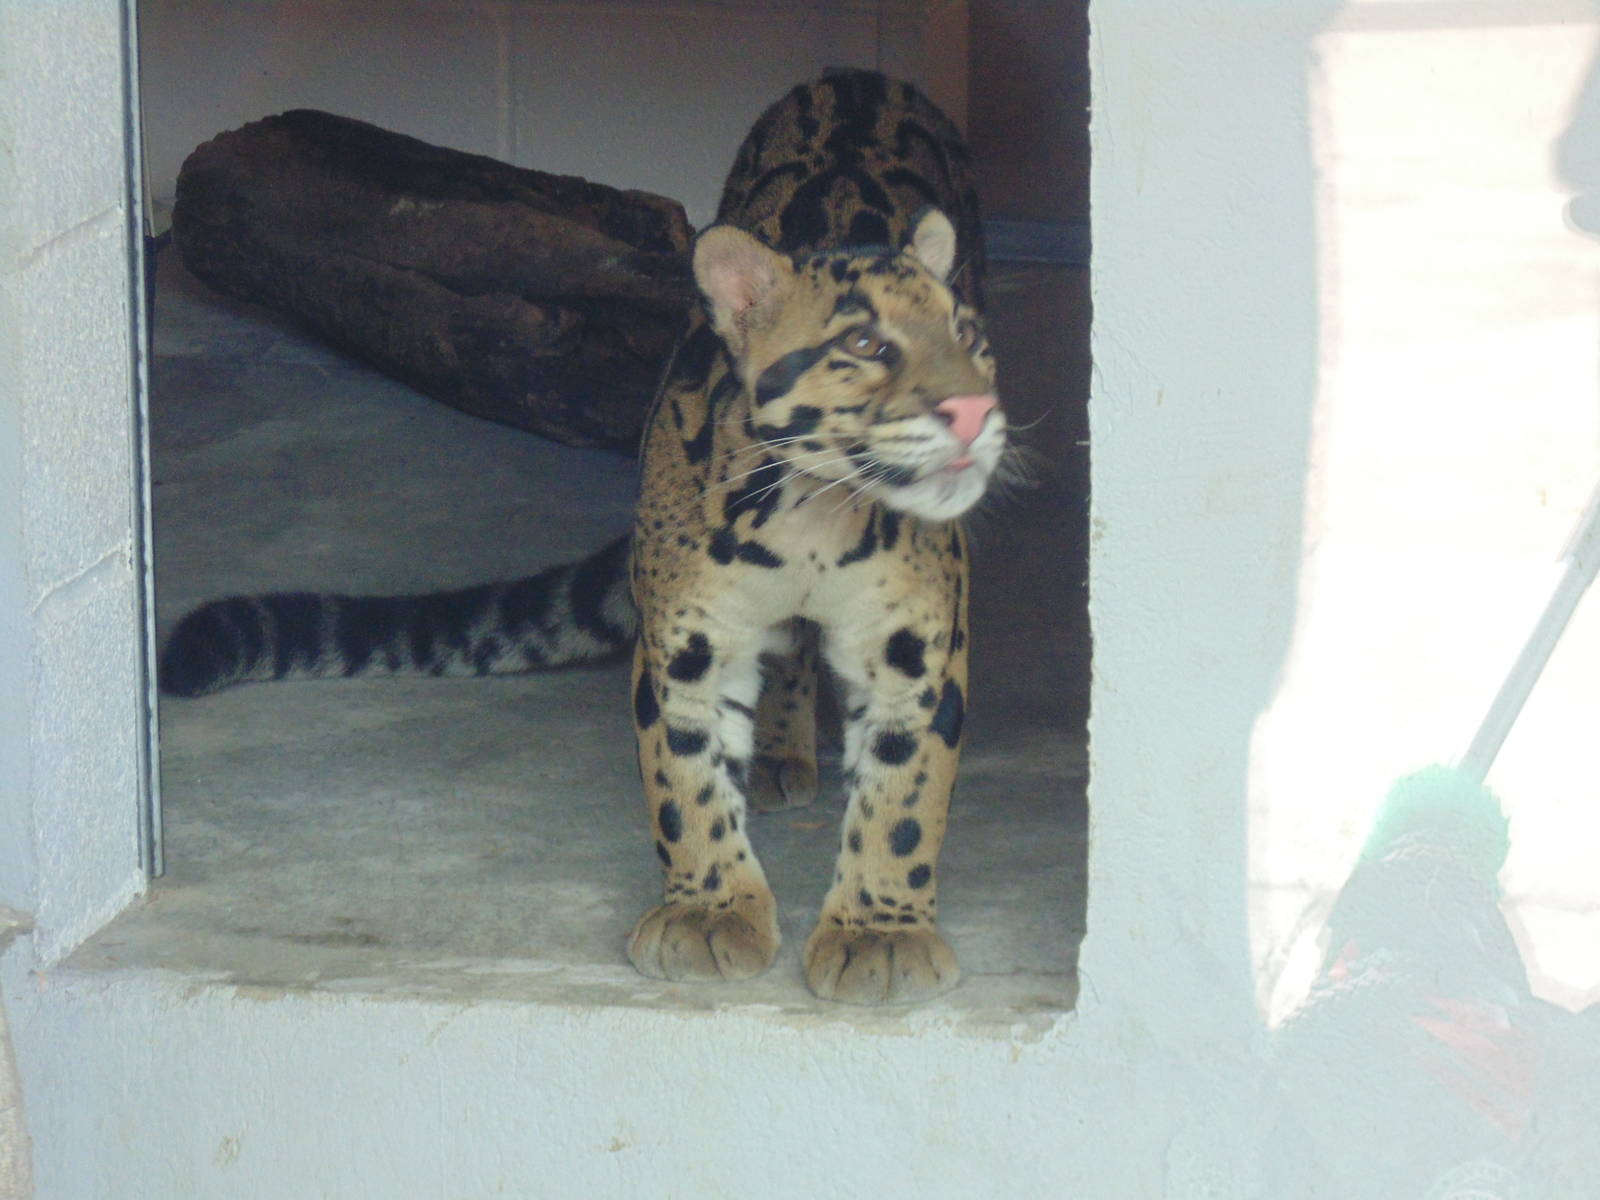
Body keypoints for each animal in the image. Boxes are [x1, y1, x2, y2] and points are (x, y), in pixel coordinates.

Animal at [161, 69, 1008, 1005]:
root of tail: (858, 73)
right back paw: (781, 754)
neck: (812, 516)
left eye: (970, 338)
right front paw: (711, 913)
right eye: (864, 343)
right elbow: (685, 778)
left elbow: (905, 793)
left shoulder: (917, 645)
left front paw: (879, 931)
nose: (975, 411)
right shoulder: (686, 642)